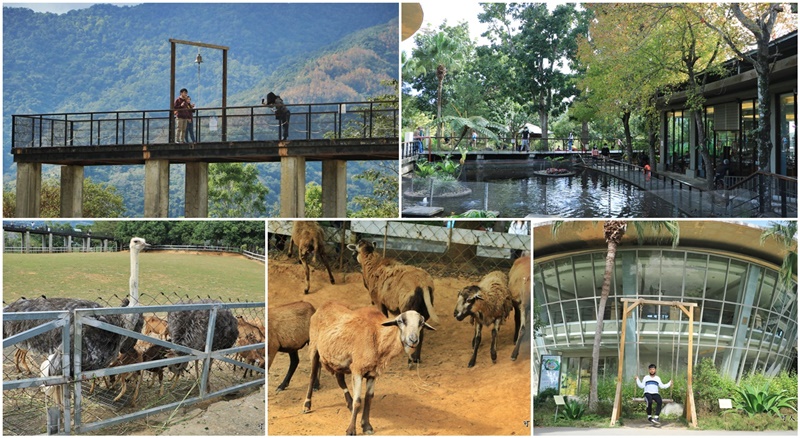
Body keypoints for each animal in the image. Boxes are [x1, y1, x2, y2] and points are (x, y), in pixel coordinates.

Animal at [302, 302, 438, 436]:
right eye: (401, 321)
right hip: (314, 347)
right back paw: (307, 405)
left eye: (421, 323)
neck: (377, 336)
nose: (413, 340)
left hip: (337, 358)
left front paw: (366, 426)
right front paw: (351, 430)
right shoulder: (357, 370)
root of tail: (323, 305)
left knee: (339, 378)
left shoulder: (373, 373)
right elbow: (358, 400)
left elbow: (368, 398)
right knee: (312, 376)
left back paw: (348, 403)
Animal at [348, 236, 440, 366]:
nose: (351, 257)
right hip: (425, 308)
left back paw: (410, 360)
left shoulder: (379, 302)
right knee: (420, 333)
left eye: (355, 250)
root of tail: (423, 284)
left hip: (409, 307)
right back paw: (416, 359)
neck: (373, 265)